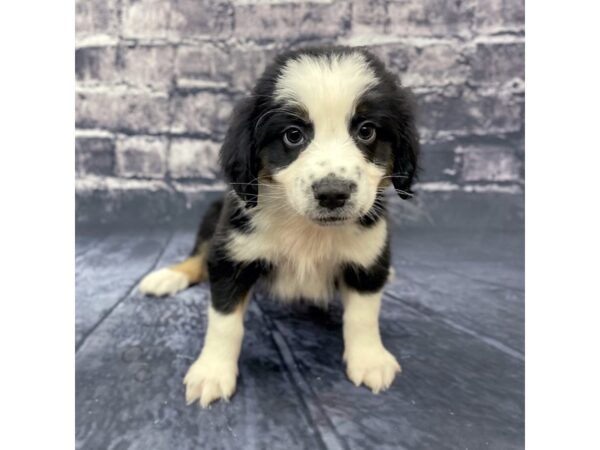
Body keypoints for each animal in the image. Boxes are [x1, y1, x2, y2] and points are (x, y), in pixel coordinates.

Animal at [138, 46, 420, 408]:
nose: (333, 193)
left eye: (367, 131)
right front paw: (212, 372)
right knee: (199, 255)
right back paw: (168, 276)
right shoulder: (232, 255)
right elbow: (224, 321)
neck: (307, 229)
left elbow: (363, 315)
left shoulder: (367, 255)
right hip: (214, 216)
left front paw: (370, 360)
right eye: (293, 135)